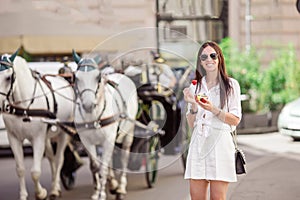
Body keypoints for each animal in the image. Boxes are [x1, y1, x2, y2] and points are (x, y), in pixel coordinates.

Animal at [0, 49, 75, 198]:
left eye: (8, 77)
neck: (24, 107)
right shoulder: (13, 138)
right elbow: (20, 169)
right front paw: (23, 195)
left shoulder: (38, 138)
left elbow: (35, 172)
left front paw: (41, 193)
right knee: (52, 158)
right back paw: (55, 187)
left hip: (63, 133)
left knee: (59, 159)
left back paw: (55, 187)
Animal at [72, 51, 138, 200]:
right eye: (75, 77)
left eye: (98, 77)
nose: (88, 105)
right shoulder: (87, 142)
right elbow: (96, 166)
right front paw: (97, 191)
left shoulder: (108, 140)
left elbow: (103, 168)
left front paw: (102, 194)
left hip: (128, 133)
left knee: (124, 157)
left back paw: (121, 187)